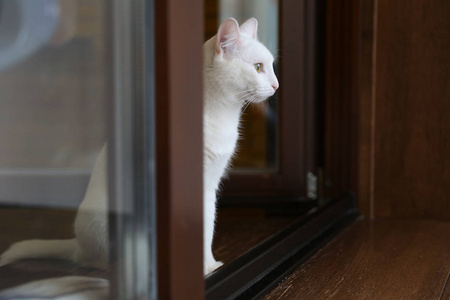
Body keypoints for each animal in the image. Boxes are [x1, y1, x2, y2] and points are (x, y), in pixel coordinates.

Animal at [0, 17, 278, 278]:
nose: (277, 85)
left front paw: (208, 267)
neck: (222, 116)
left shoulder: (208, 189)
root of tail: (77, 243)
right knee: (93, 262)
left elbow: (206, 230)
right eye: (258, 67)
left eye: (272, 65)